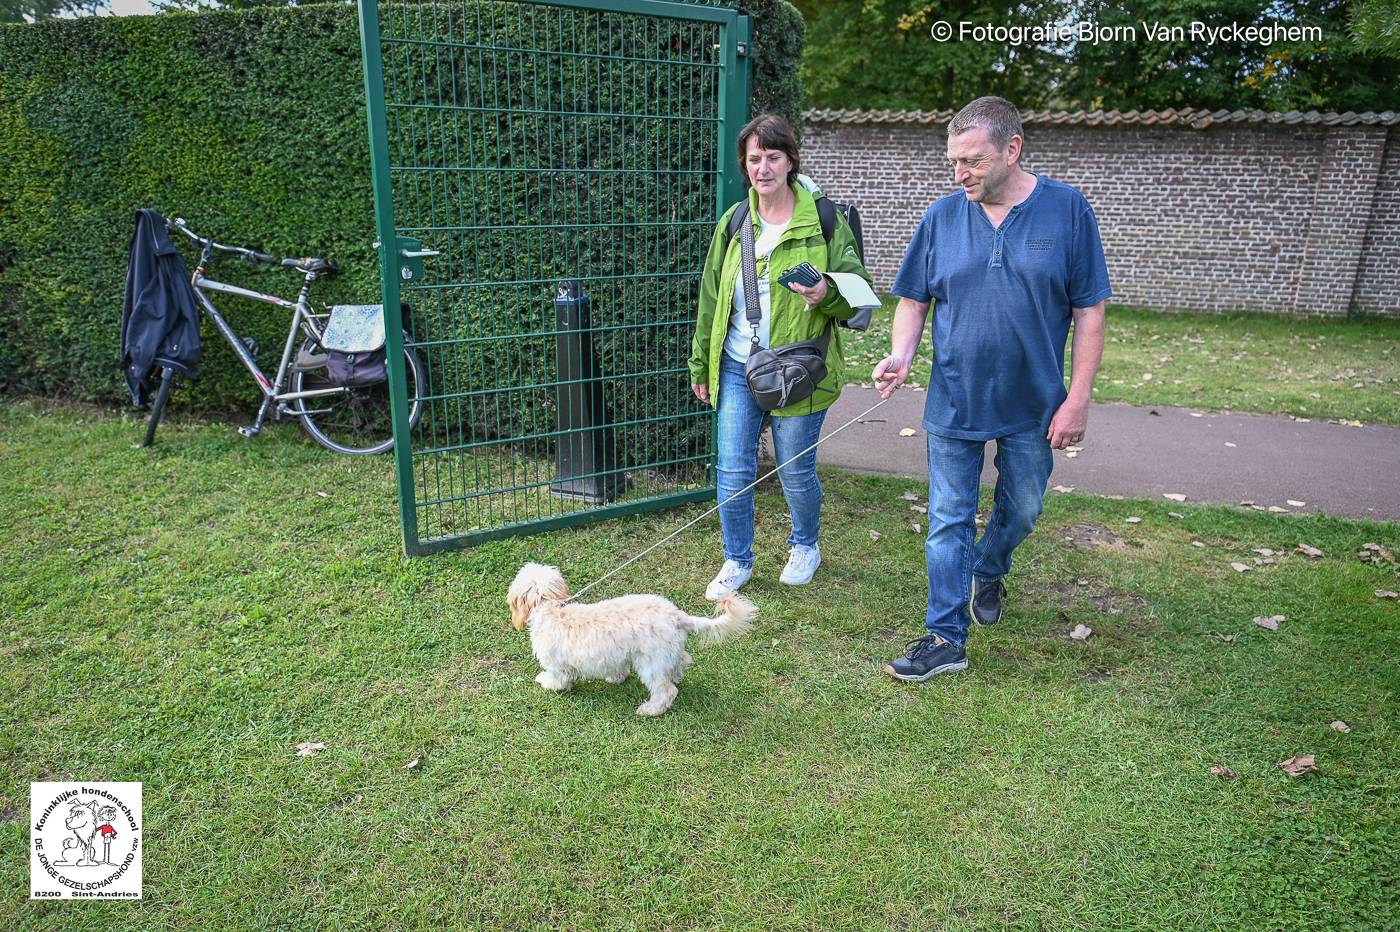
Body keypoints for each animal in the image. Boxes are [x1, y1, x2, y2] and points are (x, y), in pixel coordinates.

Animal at [509, 559, 756, 710]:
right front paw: (616, 679)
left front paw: (547, 683)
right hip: (668, 653)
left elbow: (558, 678)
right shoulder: (613, 657)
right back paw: (676, 675)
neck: (550, 608)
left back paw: (651, 709)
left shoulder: (556, 664)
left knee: (667, 691)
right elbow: (617, 669)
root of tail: (677, 615)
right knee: (682, 662)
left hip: (651, 664)